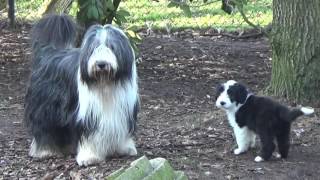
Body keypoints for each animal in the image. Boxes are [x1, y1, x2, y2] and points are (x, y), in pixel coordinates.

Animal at [24, 14, 139, 166]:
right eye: (94, 48)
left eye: (111, 47)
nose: (101, 64)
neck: (106, 84)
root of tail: (50, 51)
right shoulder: (88, 114)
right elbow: (89, 135)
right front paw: (89, 157)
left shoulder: (122, 111)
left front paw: (123, 148)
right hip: (46, 107)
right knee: (45, 128)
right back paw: (45, 151)